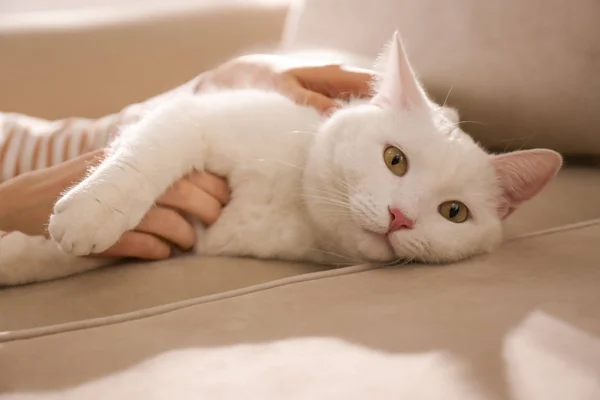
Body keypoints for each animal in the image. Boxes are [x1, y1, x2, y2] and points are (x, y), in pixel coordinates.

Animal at [0, 32, 564, 286]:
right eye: (395, 160)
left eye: (454, 213)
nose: (400, 217)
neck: (291, 205)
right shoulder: (193, 118)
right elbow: (142, 161)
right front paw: (89, 215)